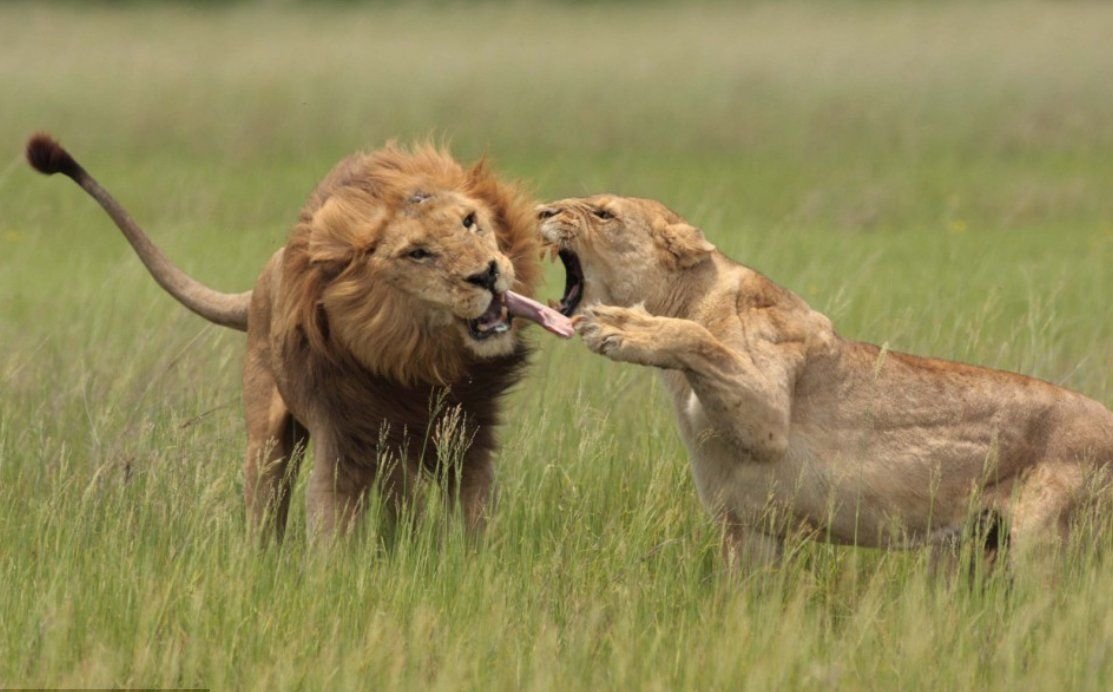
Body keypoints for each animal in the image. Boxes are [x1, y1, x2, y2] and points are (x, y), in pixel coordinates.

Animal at [29, 132, 569, 540]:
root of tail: (260, 283)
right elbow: (331, 526)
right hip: (267, 442)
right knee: (267, 505)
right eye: (418, 253)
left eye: (470, 221)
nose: (488, 274)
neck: (420, 363)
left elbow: (473, 520)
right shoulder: (343, 439)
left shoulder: (468, 439)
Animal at [538, 193, 1113, 569]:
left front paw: (621, 326)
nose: (541, 211)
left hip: (1045, 546)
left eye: (604, 212)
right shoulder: (751, 529)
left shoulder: (768, 413)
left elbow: (697, 338)